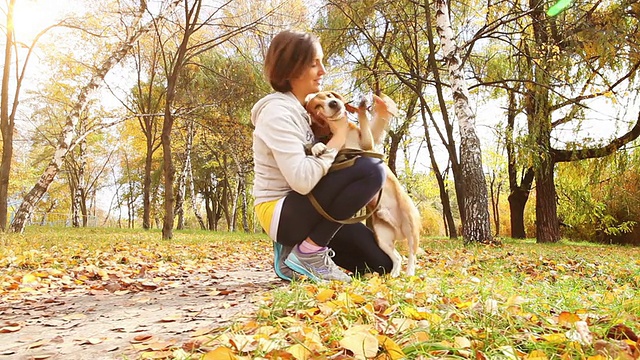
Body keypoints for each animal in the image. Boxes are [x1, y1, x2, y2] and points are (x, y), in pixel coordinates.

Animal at [306, 91, 422, 278]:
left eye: (330, 95)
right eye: (317, 106)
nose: (333, 103)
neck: (343, 133)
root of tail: (399, 229)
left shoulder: (367, 143)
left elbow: (363, 119)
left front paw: (361, 106)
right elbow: (319, 146)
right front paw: (316, 147)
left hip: (411, 227)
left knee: (412, 255)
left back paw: (409, 272)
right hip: (382, 239)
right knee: (398, 257)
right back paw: (394, 274)